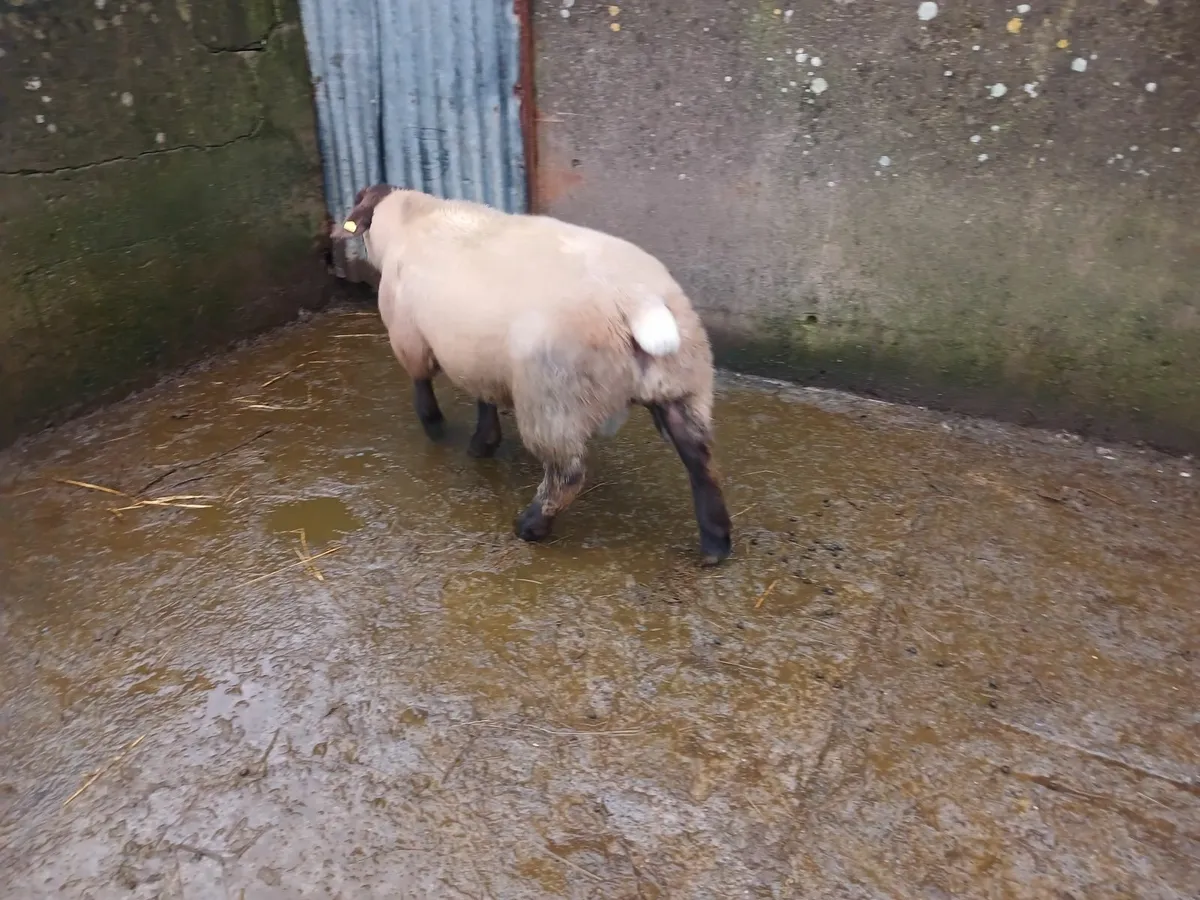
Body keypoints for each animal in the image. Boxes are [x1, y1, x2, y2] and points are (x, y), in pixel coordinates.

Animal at [331, 185, 733, 565]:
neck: (410, 219)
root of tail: (636, 298)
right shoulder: (480, 357)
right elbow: (484, 400)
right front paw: (483, 443)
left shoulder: (410, 337)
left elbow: (422, 385)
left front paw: (435, 427)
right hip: (683, 385)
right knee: (701, 460)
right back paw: (716, 543)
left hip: (553, 398)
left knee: (567, 473)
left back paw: (531, 525)